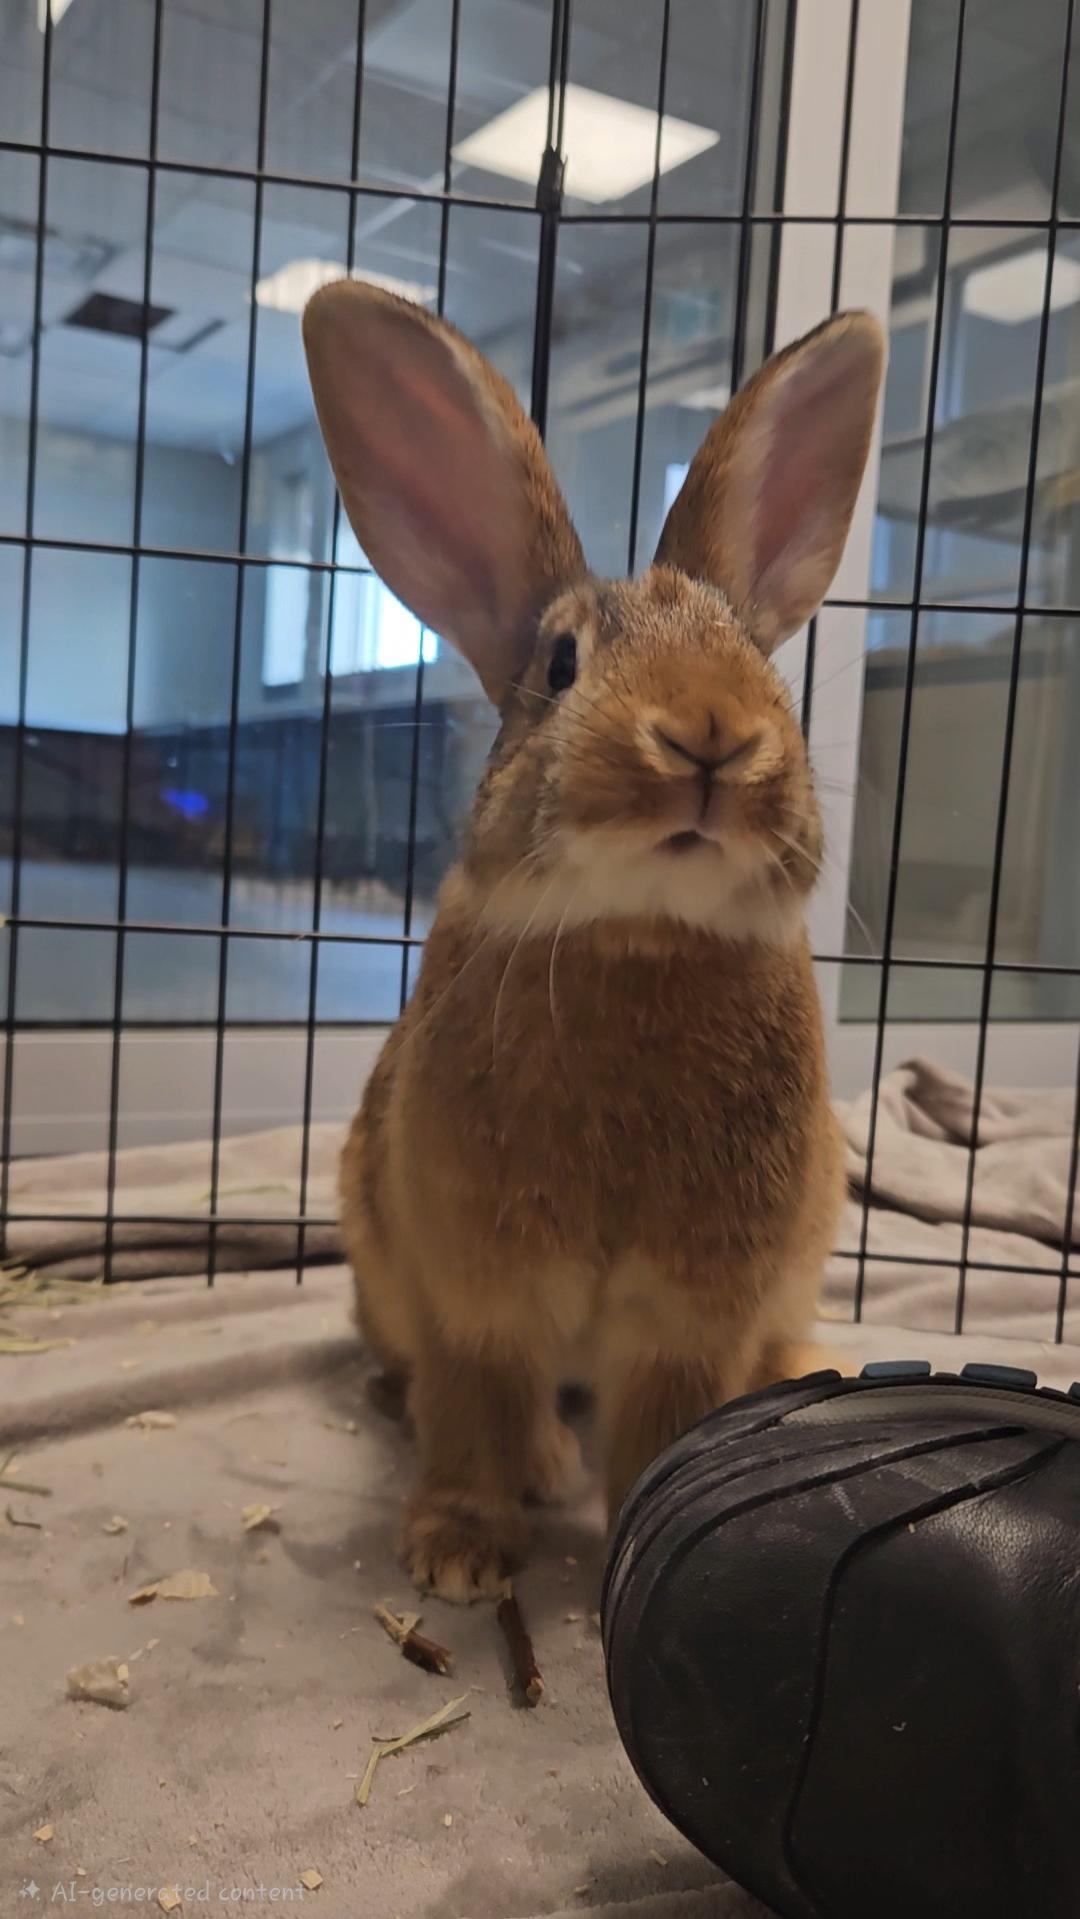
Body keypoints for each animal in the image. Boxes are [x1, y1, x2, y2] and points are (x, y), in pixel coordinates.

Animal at [303, 283, 884, 1603]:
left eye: (758, 660)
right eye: (562, 665)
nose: (712, 735)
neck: (638, 931)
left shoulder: (694, 1313)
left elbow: (669, 1421)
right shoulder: (477, 1293)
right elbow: (475, 1400)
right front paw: (460, 1553)